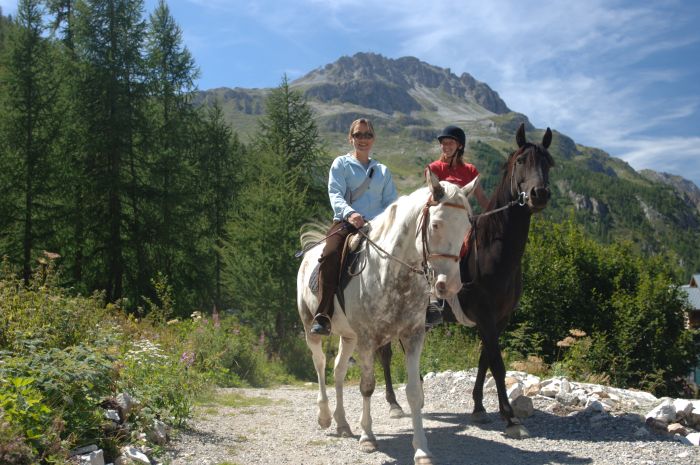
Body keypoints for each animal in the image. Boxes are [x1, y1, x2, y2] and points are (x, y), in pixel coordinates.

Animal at [296, 170, 476, 464]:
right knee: (320, 364)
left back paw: (342, 423)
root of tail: (312, 251)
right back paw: (324, 416)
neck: (391, 272)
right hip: (311, 325)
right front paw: (368, 438)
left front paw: (422, 449)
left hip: (349, 337)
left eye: (466, 228)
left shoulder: (413, 336)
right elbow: (367, 386)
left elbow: (414, 392)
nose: (449, 285)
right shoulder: (369, 339)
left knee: (337, 370)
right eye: (436, 225)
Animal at [380, 121, 556, 436]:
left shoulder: (499, 319)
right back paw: (394, 403)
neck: (492, 253)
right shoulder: (485, 315)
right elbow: (497, 364)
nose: (539, 194)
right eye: (521, 161)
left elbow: (485, 360)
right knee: (386, 353)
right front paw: (511, 418)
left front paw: (479, 408)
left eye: (547, 162)